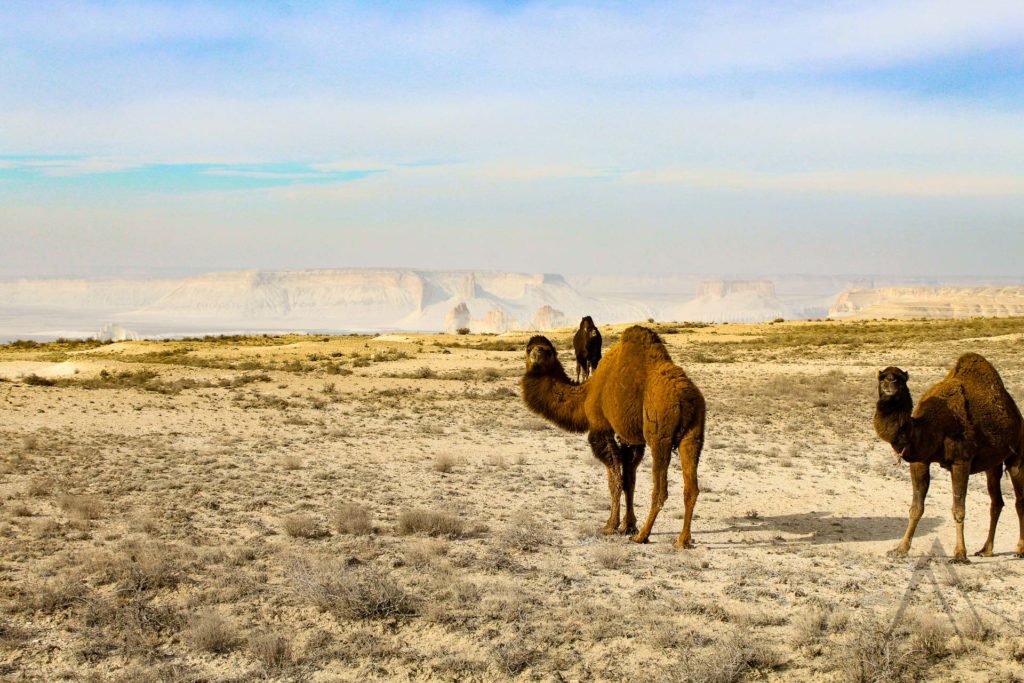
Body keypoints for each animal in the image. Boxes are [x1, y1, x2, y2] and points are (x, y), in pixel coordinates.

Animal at [521, 326, 705, 546]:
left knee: (660, 489)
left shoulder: (601, 428)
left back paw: (643, 536)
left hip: (660, 434)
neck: (586, 393)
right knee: (691, 487)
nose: (537, 353)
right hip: (694, 433)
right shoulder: (630, 439)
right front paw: (628, 525)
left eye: (547, 351)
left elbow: (614, 479)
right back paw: (683, 540)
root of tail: (686, 396)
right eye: (528, 348)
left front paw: (611, 526)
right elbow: (629, 480)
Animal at [874, 353, 1024, 563]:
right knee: (997, 501)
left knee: (1019, 499)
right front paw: (900, 549)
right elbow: (916, 508)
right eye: (881, 378)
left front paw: (960, 554)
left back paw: (1020, 549)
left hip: (1017, 452)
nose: (890, 382)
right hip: (993, 464)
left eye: (901, 380)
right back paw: (986, 550)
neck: (932, 426)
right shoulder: (920, 461)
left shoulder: (961, 461)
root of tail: (1018, 414)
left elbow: (958, 509)